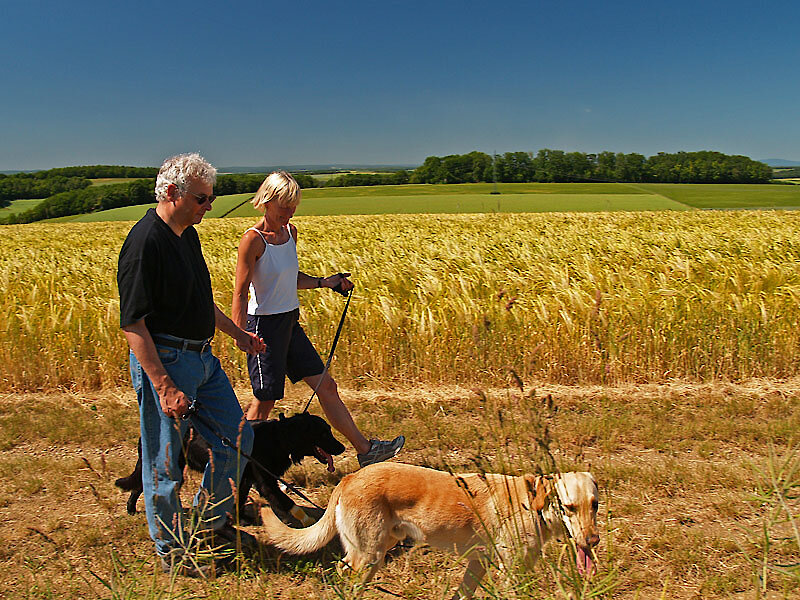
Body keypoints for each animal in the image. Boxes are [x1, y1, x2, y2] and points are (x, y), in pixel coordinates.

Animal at [114, 412, 346, 520]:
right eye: (324, 433)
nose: (342, 447)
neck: (279, 437)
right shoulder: (266, 483)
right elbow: (288, 503)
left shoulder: (245, 479)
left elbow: (240, 500)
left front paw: (241, 518)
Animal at [258, 462, 600, 596]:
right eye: (569, 507)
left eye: (594, 505)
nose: (593, 540)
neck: (533, 506)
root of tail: (350, 477)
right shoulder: (509, 572)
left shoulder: (478, 565)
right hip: (368, 555)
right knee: (346, 577)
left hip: (374, 554)